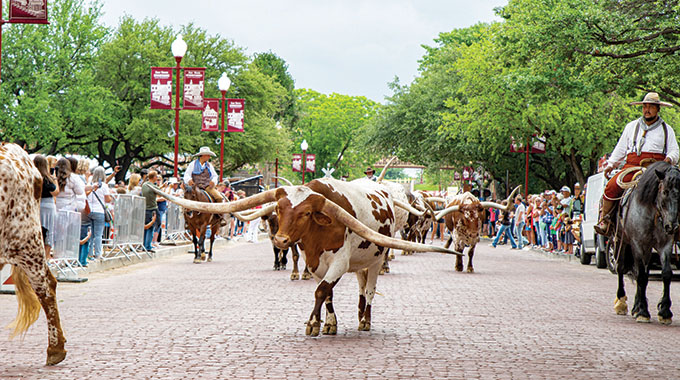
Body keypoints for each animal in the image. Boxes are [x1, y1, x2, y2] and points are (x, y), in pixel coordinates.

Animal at [612, 160, 680, 324]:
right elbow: (641, 276)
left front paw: (665, 312)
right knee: (621, 268)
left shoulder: (665, 245)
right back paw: (621, 303)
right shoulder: (637, 244)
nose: (672, 226)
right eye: (665, 192)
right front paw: (643, 312)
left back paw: (636, 307)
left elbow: (666, 273)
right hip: (622, 241)